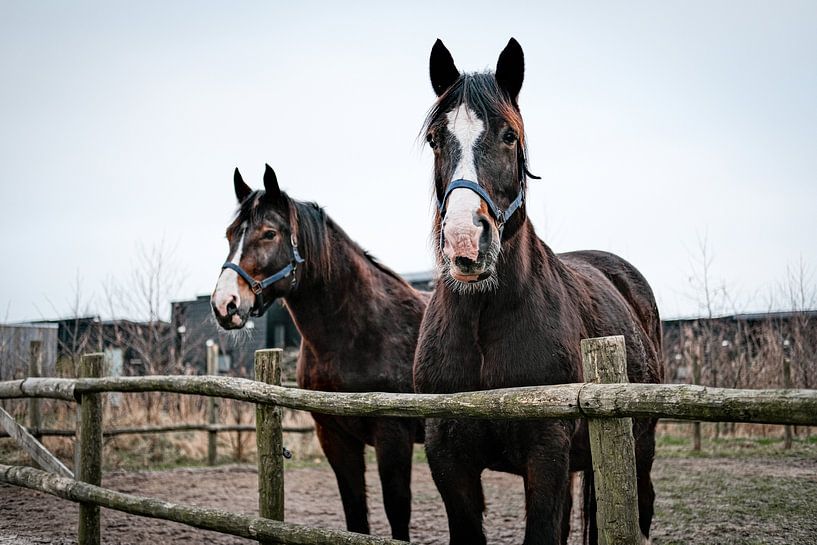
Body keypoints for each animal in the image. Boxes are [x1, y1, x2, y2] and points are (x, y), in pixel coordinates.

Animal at [210, 165, 429, 540]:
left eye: (269, 234)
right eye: (229, 235)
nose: (225, 304)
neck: (364, 331)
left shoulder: (394, 437)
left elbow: (397, 514)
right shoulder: (334, 437)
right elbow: (355, 516)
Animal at [412, 38, 664, 545]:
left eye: (509, 136)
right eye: (435, 139)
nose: (466, 241)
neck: (483, 321)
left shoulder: (546, 453)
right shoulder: (446, 457)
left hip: (640, 447)